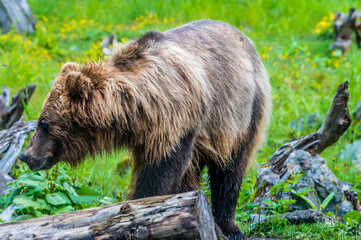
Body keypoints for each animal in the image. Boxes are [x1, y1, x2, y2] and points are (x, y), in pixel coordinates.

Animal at [20, 20, 270, 238]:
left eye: (43, 123)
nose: (26, 155)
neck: (136, 112)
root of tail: (244, 38)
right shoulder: (148, 135)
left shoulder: (174, 122)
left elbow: (161, 172)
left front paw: (144, 209)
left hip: (243, 113)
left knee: (231, 169)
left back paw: (229, 226)